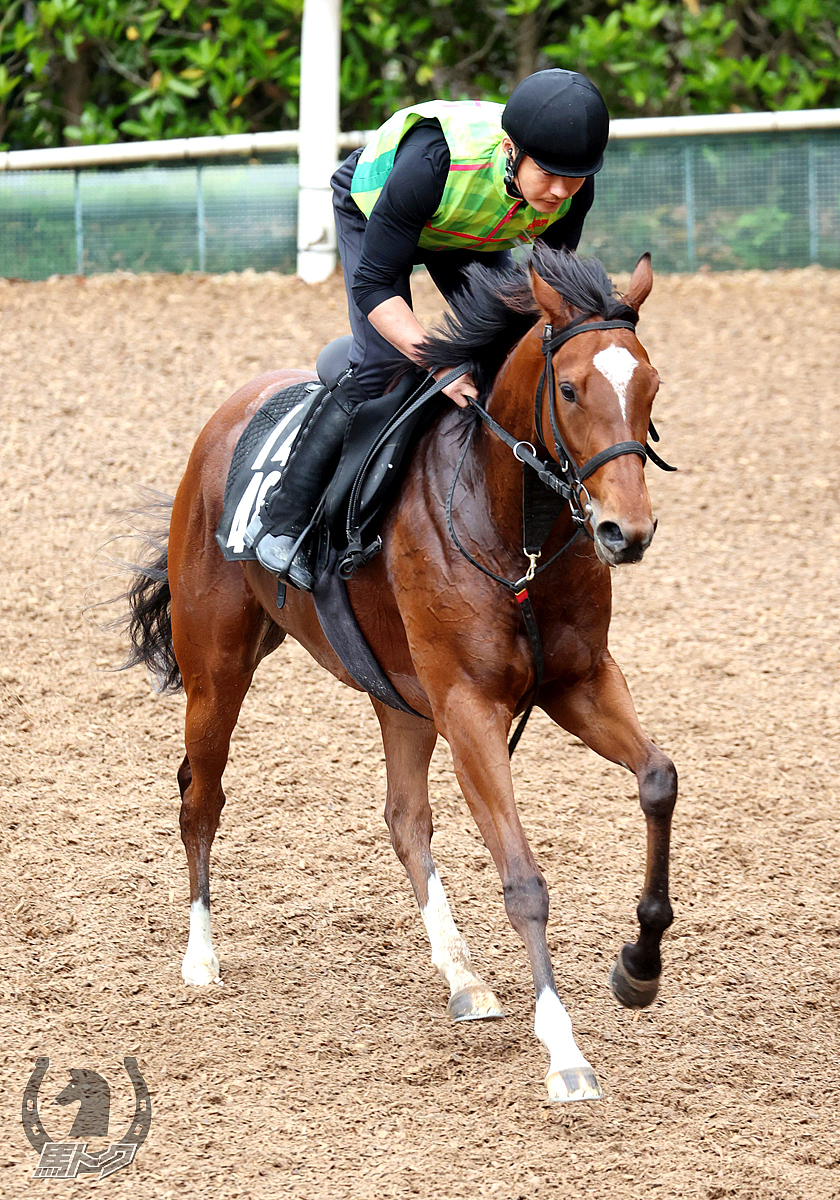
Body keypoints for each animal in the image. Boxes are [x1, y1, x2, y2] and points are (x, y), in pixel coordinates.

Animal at [123, 248, 676, 1099]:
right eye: (572, 388)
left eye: (649, 386)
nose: (627, 531)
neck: (513, 525)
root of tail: (228, 416)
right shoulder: (470, 706)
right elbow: (523, 879)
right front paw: (565, 1053)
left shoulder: (578, 682)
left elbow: (658, 780)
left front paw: (638, 967)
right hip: (217, 669)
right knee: (200, 798)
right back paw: (201, 957)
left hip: (400, 697)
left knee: (404, 818)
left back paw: (463, 976)